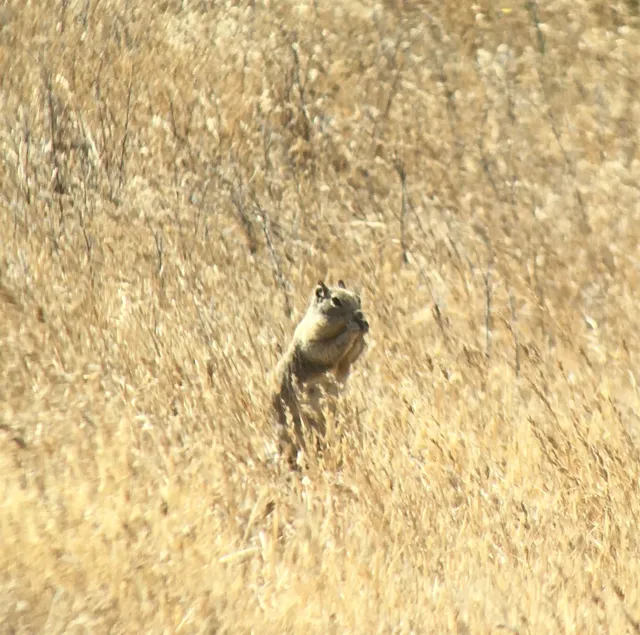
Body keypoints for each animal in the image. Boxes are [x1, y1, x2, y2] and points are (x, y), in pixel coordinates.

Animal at [272, 280, 369, 466]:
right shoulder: (312, 341)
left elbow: (351, 356)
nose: (360, 315)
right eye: (336, 301)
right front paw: (353, 328)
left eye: (358, 298)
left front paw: (363, 329)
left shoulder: (346, 361)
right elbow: (331, 347)